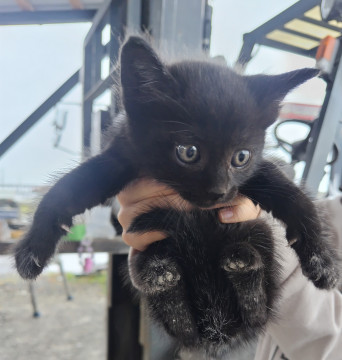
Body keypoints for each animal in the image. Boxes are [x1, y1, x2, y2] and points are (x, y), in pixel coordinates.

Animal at [14, 36, 338, 292]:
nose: (219, 192)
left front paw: (322, 259)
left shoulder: (253, 173)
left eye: (241, 157)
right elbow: (68, 188)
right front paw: (32, 249)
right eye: (188, 152)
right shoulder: (122, 155)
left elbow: (292, 195)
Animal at [127, 208, 280, 358]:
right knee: (185, 332)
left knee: (257, 314)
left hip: (260, 230)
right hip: (144, 256)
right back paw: (163, 279)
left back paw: (241, 260)